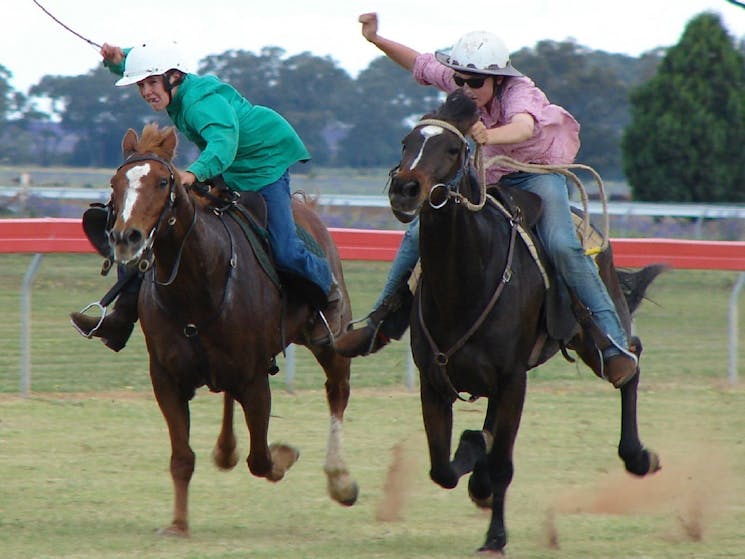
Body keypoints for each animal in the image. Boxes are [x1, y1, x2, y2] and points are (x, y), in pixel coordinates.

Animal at [106, 123, 358, 540]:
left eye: (163, 181)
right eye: (115, 182)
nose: (127, 237)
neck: (198, 285)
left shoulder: (255, 378)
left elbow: (262, 458)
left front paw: (286, 456)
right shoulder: (166, 378)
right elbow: (182, 456)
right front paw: (178, 524)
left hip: (330, 340)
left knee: (337, 392)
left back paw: (340, 479)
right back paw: (225, 449)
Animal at [386, 89, 660, 552]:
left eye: (454, 148)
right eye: (407, 142)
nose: (404, 189)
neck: (467, 284)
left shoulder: (513, 380)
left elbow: (501, 465)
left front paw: (495, 536)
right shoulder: (433, 382)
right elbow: (443, 467)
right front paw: (472, 460)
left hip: (593, 332)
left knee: (629, 359)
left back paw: (639, 455)